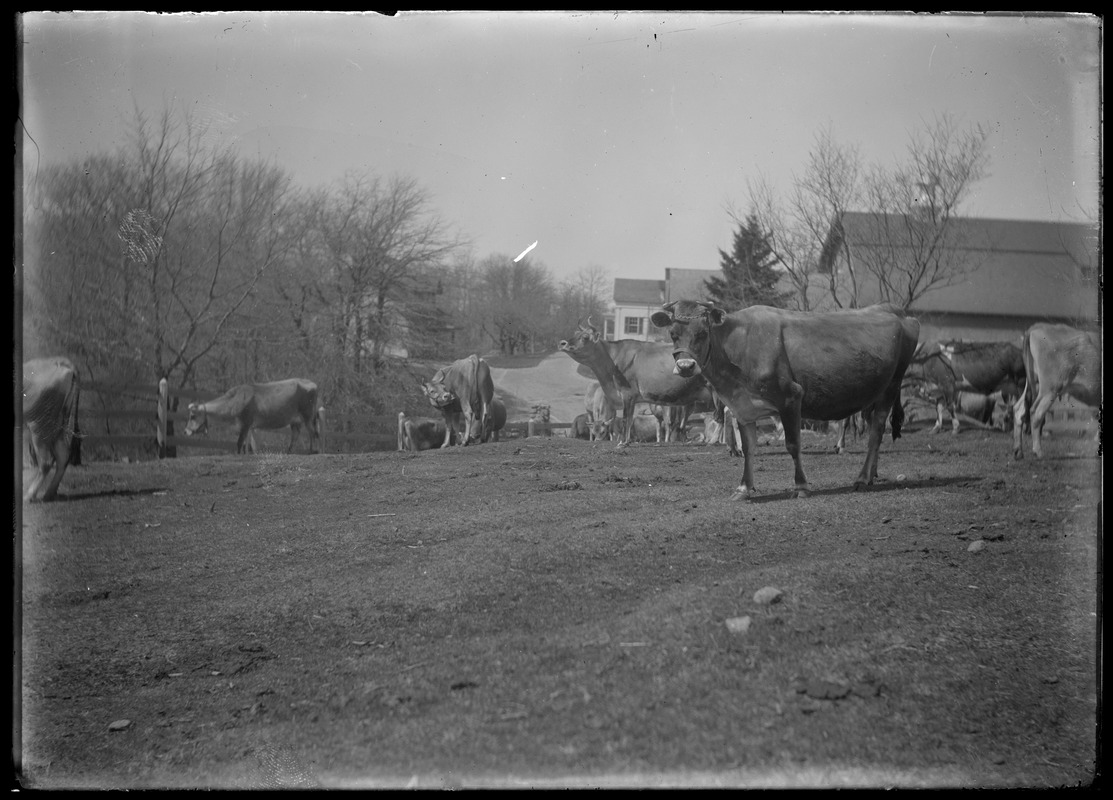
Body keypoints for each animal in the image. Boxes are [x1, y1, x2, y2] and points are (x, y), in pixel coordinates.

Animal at [184, 378, 324, 453]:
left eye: (192, 416)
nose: (186, 431)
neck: (235, 401)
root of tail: (313, 383)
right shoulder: (249, 427)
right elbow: (247, 445)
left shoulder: (246, 423)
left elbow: (239, 443)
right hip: (295, 420)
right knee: (296, 435)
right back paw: (289, 452)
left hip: (308, 416)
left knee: (313, 433)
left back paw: (313, 451)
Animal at [556, 322, 712, 447]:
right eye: (575, 333)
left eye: (585, 337)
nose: (562, 343)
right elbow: (630, 420)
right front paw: (627, 441)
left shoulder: (627, 393)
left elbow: (626, 419)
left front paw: (622, 443)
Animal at [649, 302, 921, 500]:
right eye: (673, 334)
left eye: (703, 333)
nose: (685, 366)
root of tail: (897, 310)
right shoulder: (743, 406)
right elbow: (749, 448)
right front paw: (744, 488)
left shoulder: (791, 397)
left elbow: (792, 444)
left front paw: (801, 487)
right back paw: (872, 474)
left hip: (892, 385)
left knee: (876, 431)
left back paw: (862, 478)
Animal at [1015, 322, 1099, 460]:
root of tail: (1037, 327)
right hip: (1050, 388)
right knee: (1036, 412)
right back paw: (1038, 451)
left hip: (1033, 383)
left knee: (1019, 409)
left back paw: (1018, 451)